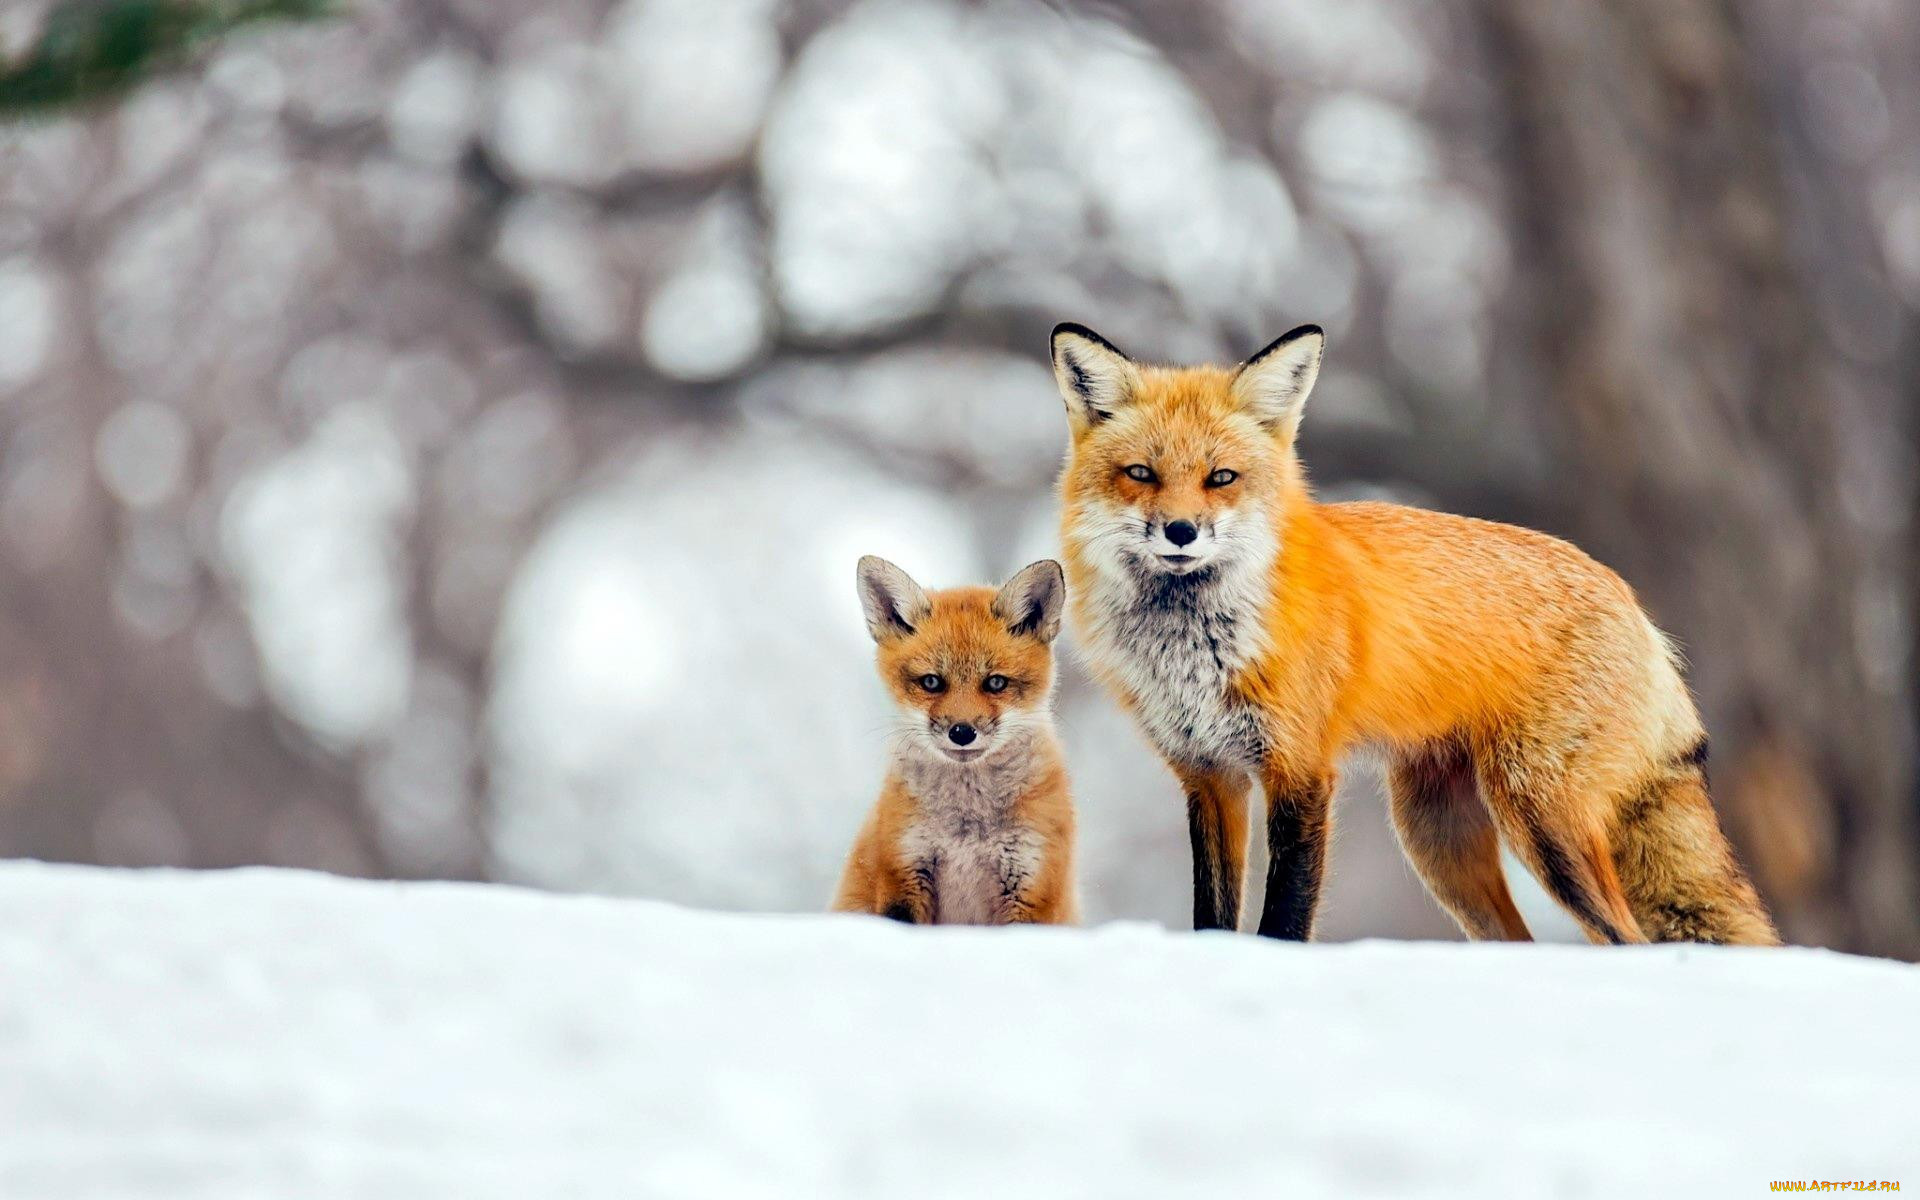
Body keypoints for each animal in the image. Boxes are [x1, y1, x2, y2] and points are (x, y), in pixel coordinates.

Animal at [1059, 320, 1774, 944]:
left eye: (1221, 478)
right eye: (1141, 474)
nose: (1181, 531)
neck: (1194, 649)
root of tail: (1632, 601)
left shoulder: (1301, 770)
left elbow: (1284, 921)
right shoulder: (1209, 776)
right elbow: (1213, 918)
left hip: (1539, 818)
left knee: (1626, 940)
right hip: (1436, 839)